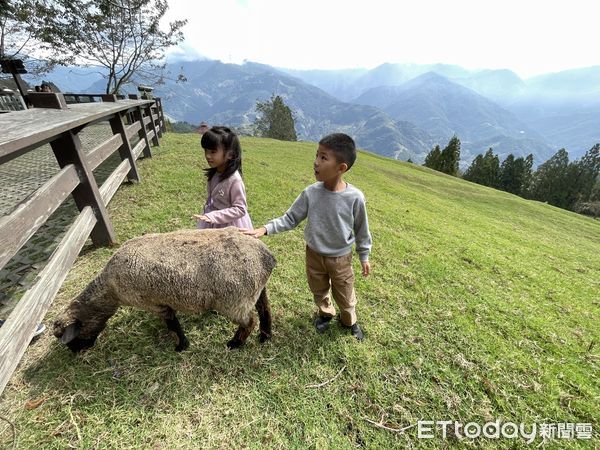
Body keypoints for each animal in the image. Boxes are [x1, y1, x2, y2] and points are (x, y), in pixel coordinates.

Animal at [52, 229, 276, 352]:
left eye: (67, 337)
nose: (76, 353)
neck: (110, 289)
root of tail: (266, 256)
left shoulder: (153, 303)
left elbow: (172, 324)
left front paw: (181, 346)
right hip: (256, 289)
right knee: (265, 310)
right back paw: (265, 337)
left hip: (235, 300)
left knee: (249, 322)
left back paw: (234, 344)